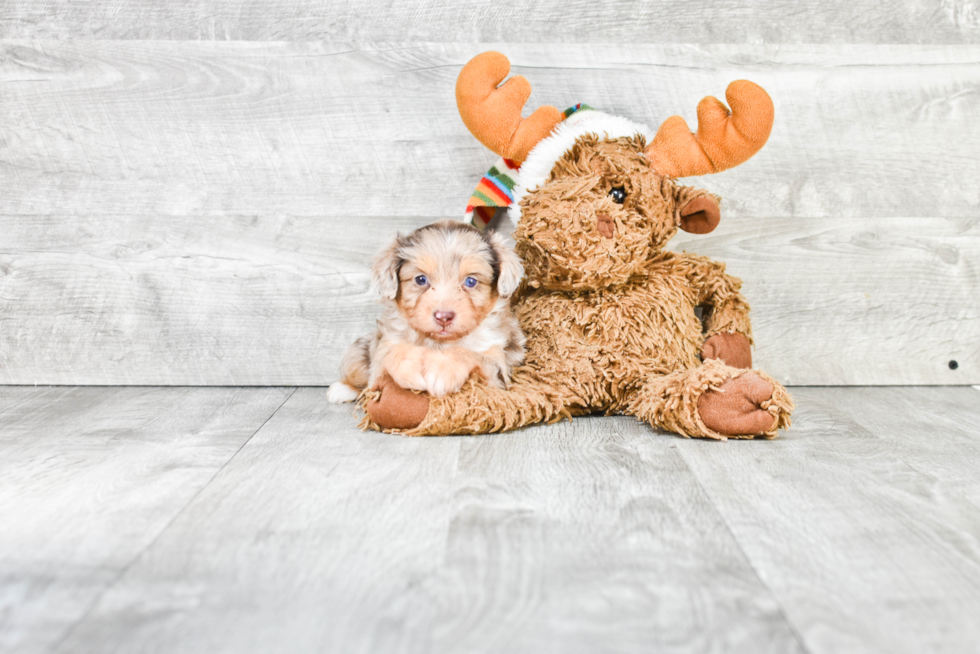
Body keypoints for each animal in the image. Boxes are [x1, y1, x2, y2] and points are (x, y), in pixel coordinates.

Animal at [328, 222, 528, 404]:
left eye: (471, 281)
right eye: (421, 279)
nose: (443, 317)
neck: (438, 342)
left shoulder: (498, 368)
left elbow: (467, 353)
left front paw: (442, 369)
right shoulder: (383, 353)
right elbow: (392, 354)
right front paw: (410, 366)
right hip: (358, 349)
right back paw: (343, 389)